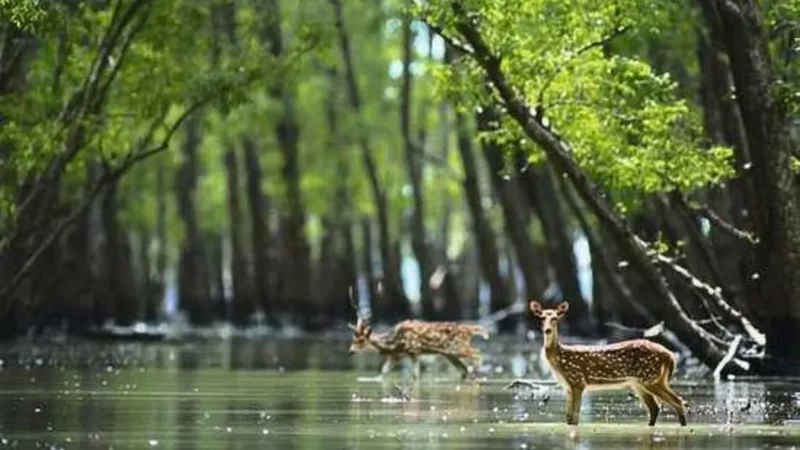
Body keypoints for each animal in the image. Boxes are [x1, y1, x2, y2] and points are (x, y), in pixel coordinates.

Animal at [348, 292, 488, 380]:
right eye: (353, 338)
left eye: (361, 340)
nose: (350, 351)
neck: (393, 343)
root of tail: (469, 329)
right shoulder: (397, 355)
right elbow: (383, 372)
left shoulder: (413, 351)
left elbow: (415, 376)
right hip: (449, 354)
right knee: (464, 370)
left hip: (457, 347)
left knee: (478, 354)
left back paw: (476, 372)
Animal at [532, 300, 688, 428]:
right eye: (541, 317)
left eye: (555, 318)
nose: (547, 330)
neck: (560, 359)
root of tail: (669, 355)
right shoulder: (568, 387)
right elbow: (569, 418)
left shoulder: (578, 381)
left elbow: (575, 417)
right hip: (640, 383)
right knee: (655, 408)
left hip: (651, 377)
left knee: (678, 401)